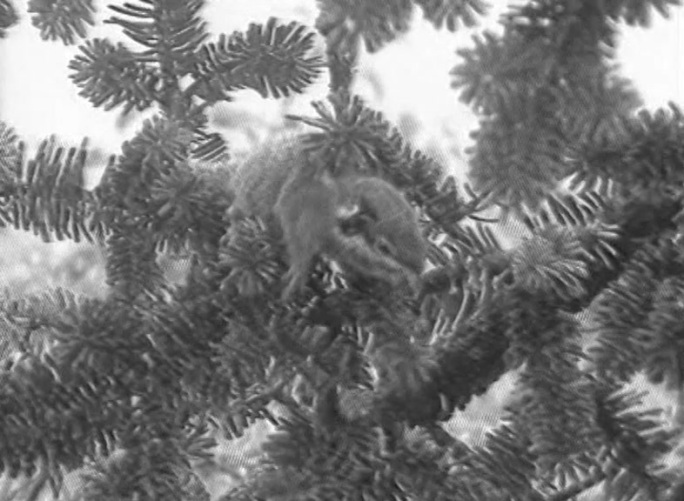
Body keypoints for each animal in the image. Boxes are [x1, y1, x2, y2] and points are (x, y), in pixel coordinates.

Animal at [227, 133, 424, 296]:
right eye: (384, 248)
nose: (420, 271)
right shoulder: (303, 210)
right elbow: (299, 243)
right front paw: (299, 272)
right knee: (239, 212)